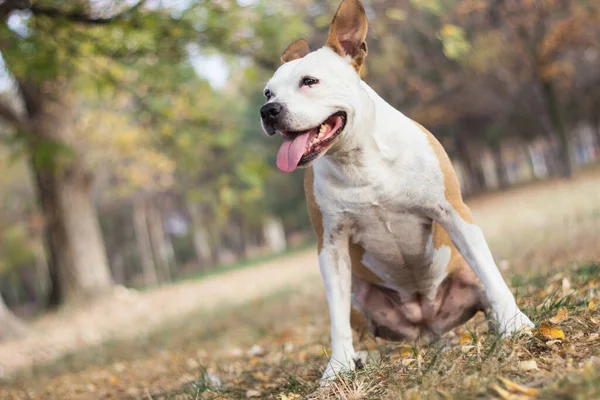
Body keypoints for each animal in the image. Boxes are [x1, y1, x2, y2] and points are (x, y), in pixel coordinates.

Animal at [258, 0, 536, 384]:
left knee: (482, 284)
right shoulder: (330, 245)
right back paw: (362, 356)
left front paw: (514, 323)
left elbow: (491, 274)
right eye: (268, 92)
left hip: (462, 274)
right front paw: (337, 368)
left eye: (309, 81)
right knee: (359, 326)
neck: (359, 159)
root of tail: (425, 325)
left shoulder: (453, 212)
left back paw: (497, 322)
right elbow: (336, 318)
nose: (268, 111)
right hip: (360, 295)